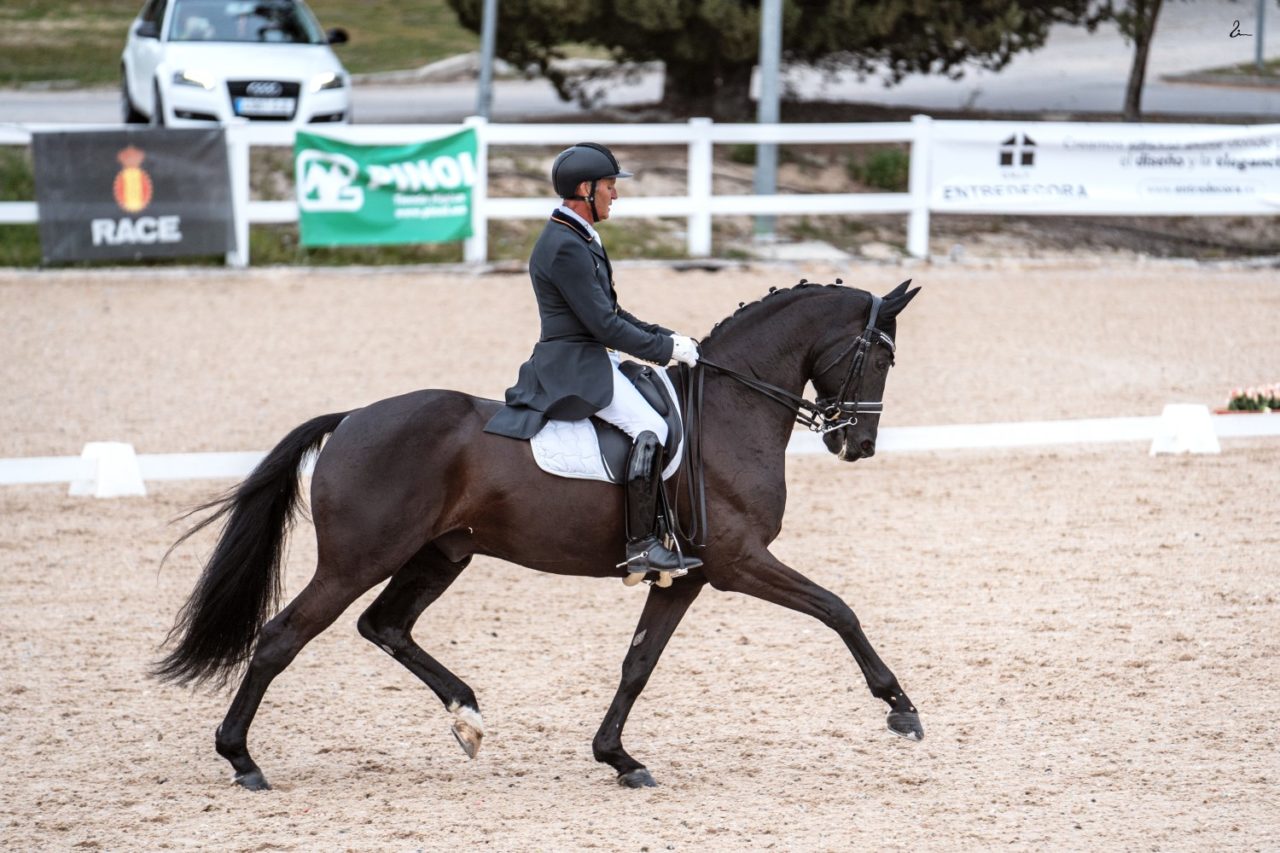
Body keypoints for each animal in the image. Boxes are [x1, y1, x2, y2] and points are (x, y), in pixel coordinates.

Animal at [157, 277, 921, 783]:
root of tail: (349, 419)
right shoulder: (738, 562)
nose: (858, 444)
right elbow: (838, 609)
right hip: (358, 559)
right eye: (883, 356)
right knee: (282, 637)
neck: (729, 410)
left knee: (385, 625)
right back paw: (241, 759)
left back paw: (467, 717)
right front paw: (901, 708)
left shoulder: (686, 575)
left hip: (440, 554)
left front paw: (618, 758)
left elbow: (638, 662)